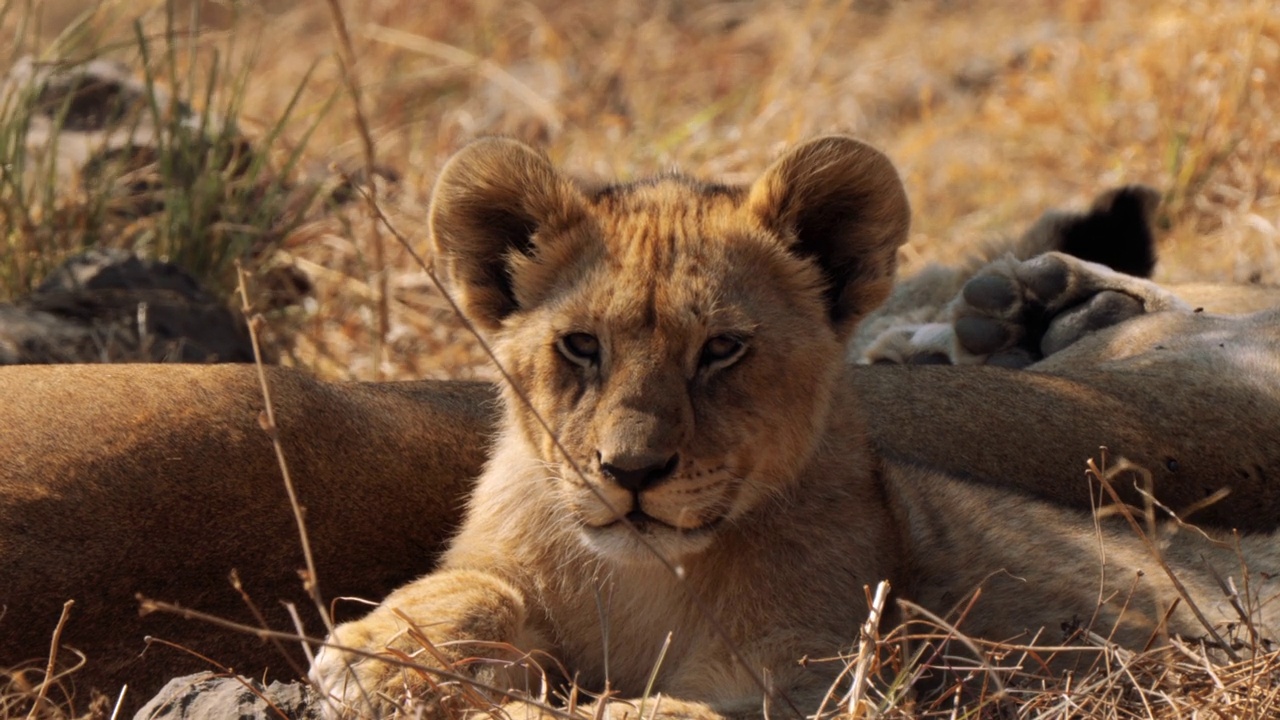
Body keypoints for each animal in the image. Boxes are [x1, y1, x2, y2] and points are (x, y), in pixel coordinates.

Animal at [309, 137, 1280, 717]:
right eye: (581, 346)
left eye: (722, 349)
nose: (631, 472)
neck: (644, 582)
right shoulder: (505, 557)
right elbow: (472, 584)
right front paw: (381, 653)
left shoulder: (827, 671)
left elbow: (686, 712)